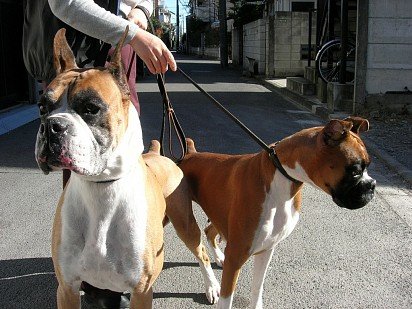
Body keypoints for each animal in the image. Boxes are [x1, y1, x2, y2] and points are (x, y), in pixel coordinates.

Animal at [34, 28, 222, 306]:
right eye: (42, 108)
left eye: (91, 108)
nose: (51, 126)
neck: (101, 186)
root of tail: (157, 153)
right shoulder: (67, 289)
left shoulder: (142, 291)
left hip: (185, 222)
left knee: (201, 252)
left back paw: (212, 285)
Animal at [179, 116, 374, 306]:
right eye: (355, 171)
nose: (372, 185)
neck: (282, 178)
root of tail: (190, 154)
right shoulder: (235, 257)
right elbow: (227, 300)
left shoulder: (266, 248)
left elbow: (257, 288)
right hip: (185, 223)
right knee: (200, 252)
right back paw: (212, 286)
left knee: (209, 232)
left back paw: (219, 258)